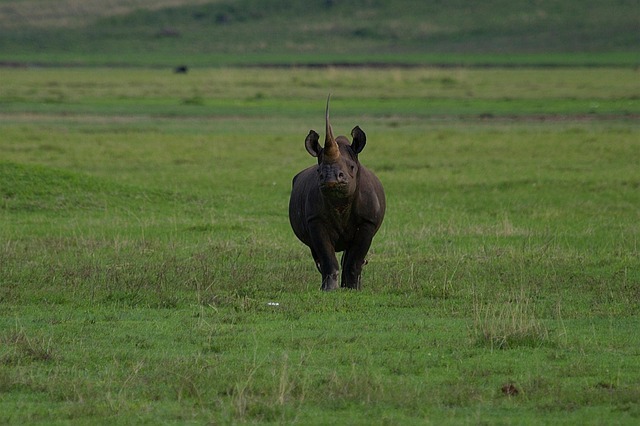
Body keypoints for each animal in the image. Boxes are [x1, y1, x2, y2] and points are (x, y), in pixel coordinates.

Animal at [289, 97, 386, 290]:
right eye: (319, 170)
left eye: (352, 167)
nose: (330, 177)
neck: (340, 203)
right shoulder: (315, 219)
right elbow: (327, 257)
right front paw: (329, 289)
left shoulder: (368, 221)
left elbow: (355, 259)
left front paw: (352, 289)